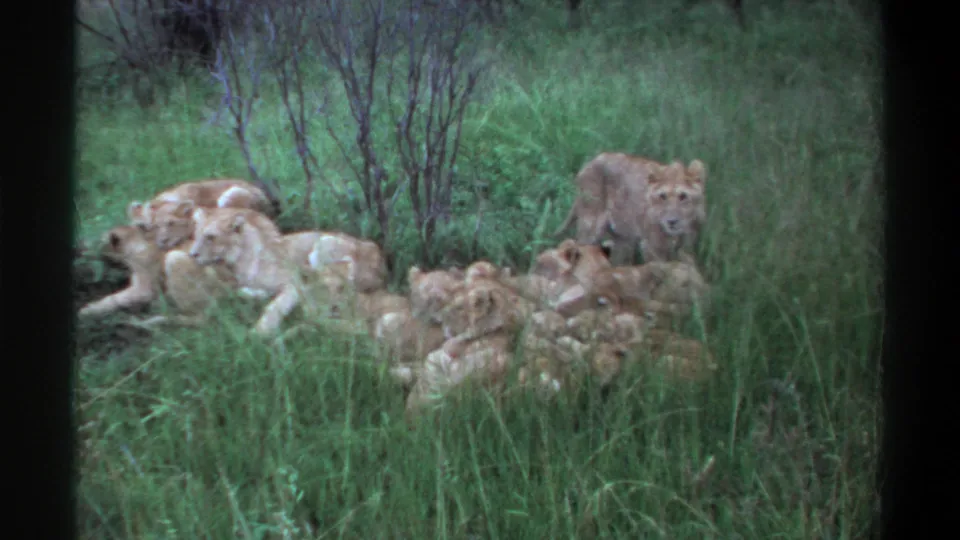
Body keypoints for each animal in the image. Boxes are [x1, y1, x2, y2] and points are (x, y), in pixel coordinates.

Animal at [553, 153, 707, 266]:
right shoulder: (651, 246)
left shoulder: (686, 247)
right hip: (591, 226)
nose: (672, 221)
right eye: (662, 196)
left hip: (623, 239)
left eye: (683, 196)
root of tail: (589, 163)